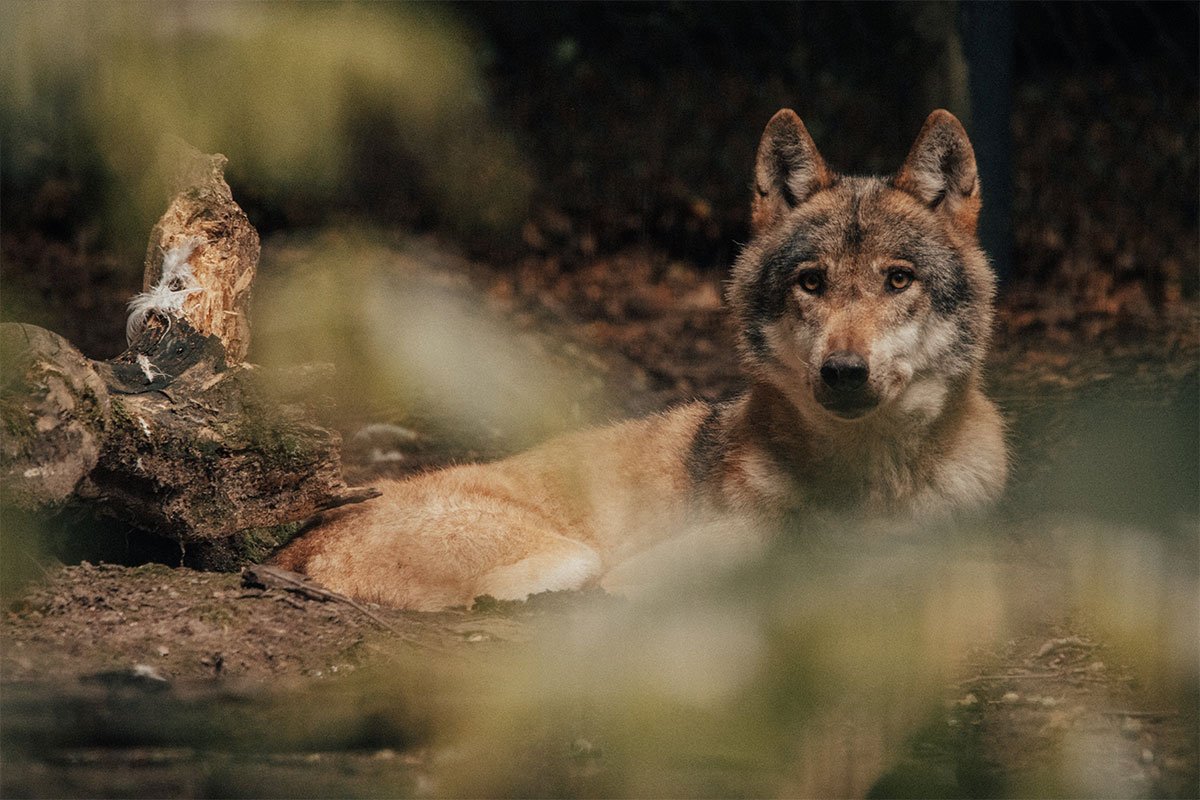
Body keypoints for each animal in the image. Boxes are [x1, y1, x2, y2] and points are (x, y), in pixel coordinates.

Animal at [270, 109, 1003, 609]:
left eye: (898, 280)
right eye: (812, 282)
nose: (844, 372)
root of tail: (300, 540)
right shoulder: (651, 572)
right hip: (573, 557)